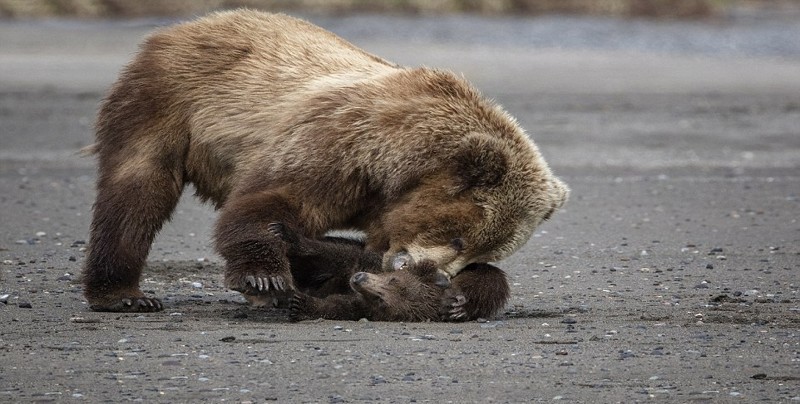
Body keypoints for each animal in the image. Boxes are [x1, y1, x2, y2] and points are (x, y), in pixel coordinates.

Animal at [83, 10, 568, 312]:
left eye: (478, 250)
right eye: (458, 238)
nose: (433, 274)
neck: (395, 171)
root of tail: (189, 25)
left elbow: (351, 254)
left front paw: (466, 296)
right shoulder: (341, 148)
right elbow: (273, 202)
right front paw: (264, 279)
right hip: (166, 101)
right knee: (138, 191)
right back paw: (124, 294)